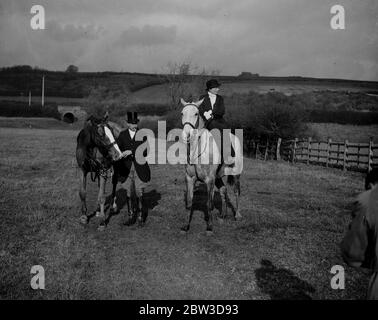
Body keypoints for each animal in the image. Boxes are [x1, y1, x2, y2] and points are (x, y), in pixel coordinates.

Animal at [182, 99, 244, 234]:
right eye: (182, 113)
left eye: (196, 114)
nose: (187, 135)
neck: (197, 150)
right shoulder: (189, 178)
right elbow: (189, 203)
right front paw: (185, 226)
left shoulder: (209, 180)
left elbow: (209, 204)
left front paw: (209, 227)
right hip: (218, 177)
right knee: (223, 190)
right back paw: (223, 215)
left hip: (236, 174)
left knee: (236, 191)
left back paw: (237, 215)